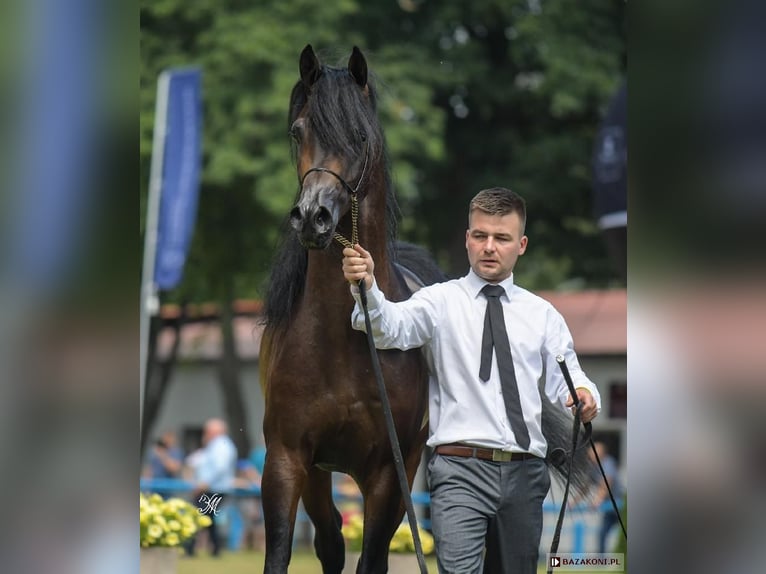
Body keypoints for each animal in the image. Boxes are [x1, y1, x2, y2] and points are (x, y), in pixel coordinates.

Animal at [260, 46, 444, 574]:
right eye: (297, 131)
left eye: (360, 136)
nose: (312, 217)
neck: (342, 340)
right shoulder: (285, 460)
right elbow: (284, 550)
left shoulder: (387, 473)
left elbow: (373, 557)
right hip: (319, 473)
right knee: (330, 540)